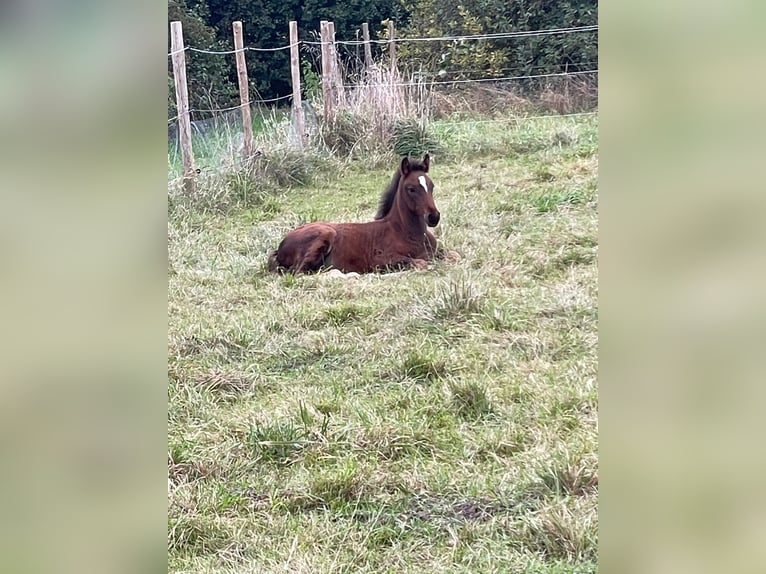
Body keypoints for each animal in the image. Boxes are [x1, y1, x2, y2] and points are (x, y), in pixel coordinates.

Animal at [268, 154, 452, 276]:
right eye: (411, 189)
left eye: (431, 185)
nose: (433, 217)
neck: (406, 232)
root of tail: (280, 245)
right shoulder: (380, 261)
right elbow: (421, 263)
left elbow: (453, 255)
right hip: (326, 233)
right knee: (299, 272)